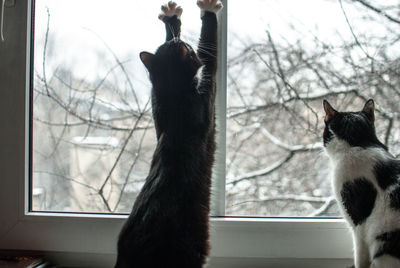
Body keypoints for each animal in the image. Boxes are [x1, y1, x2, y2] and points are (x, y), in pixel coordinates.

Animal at [115, 1, 222, 268]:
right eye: (188, 48)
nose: (182, 40)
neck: (173, 94)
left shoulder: (156, 102)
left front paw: (171, 19)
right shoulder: (206, 93)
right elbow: (210, 52)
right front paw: (209, 11)